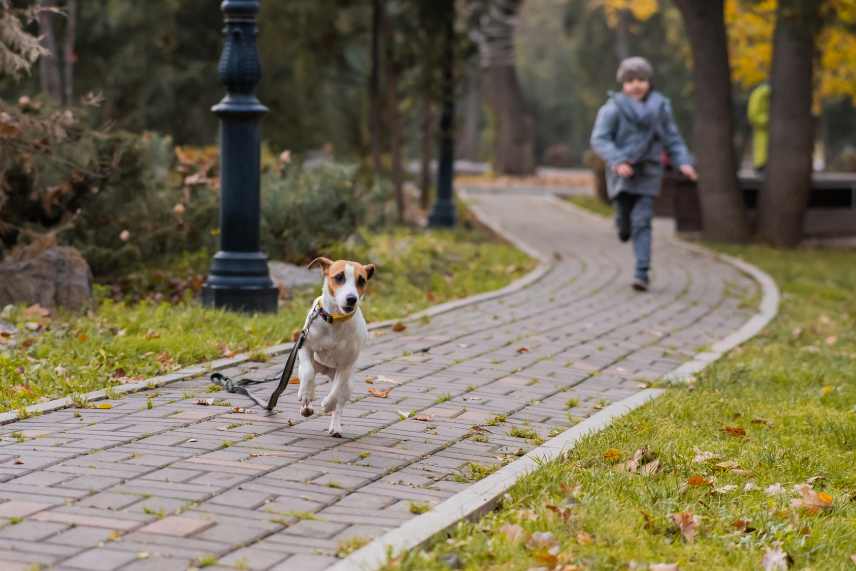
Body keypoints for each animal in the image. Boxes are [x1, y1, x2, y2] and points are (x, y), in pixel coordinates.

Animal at [298, 256, 374, 436]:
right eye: (339, 277)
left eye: (362, 280)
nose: (352, 298)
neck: (335, 319)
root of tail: (326, 370)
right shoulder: (305, 346)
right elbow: (308, 372)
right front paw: (305, 394)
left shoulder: (346, 364)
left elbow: (337, 391)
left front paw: (328, 404)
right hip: (308, 365)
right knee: (308, 375)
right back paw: (306, 402)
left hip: (348, 383)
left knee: (340, 400)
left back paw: (336, 427)